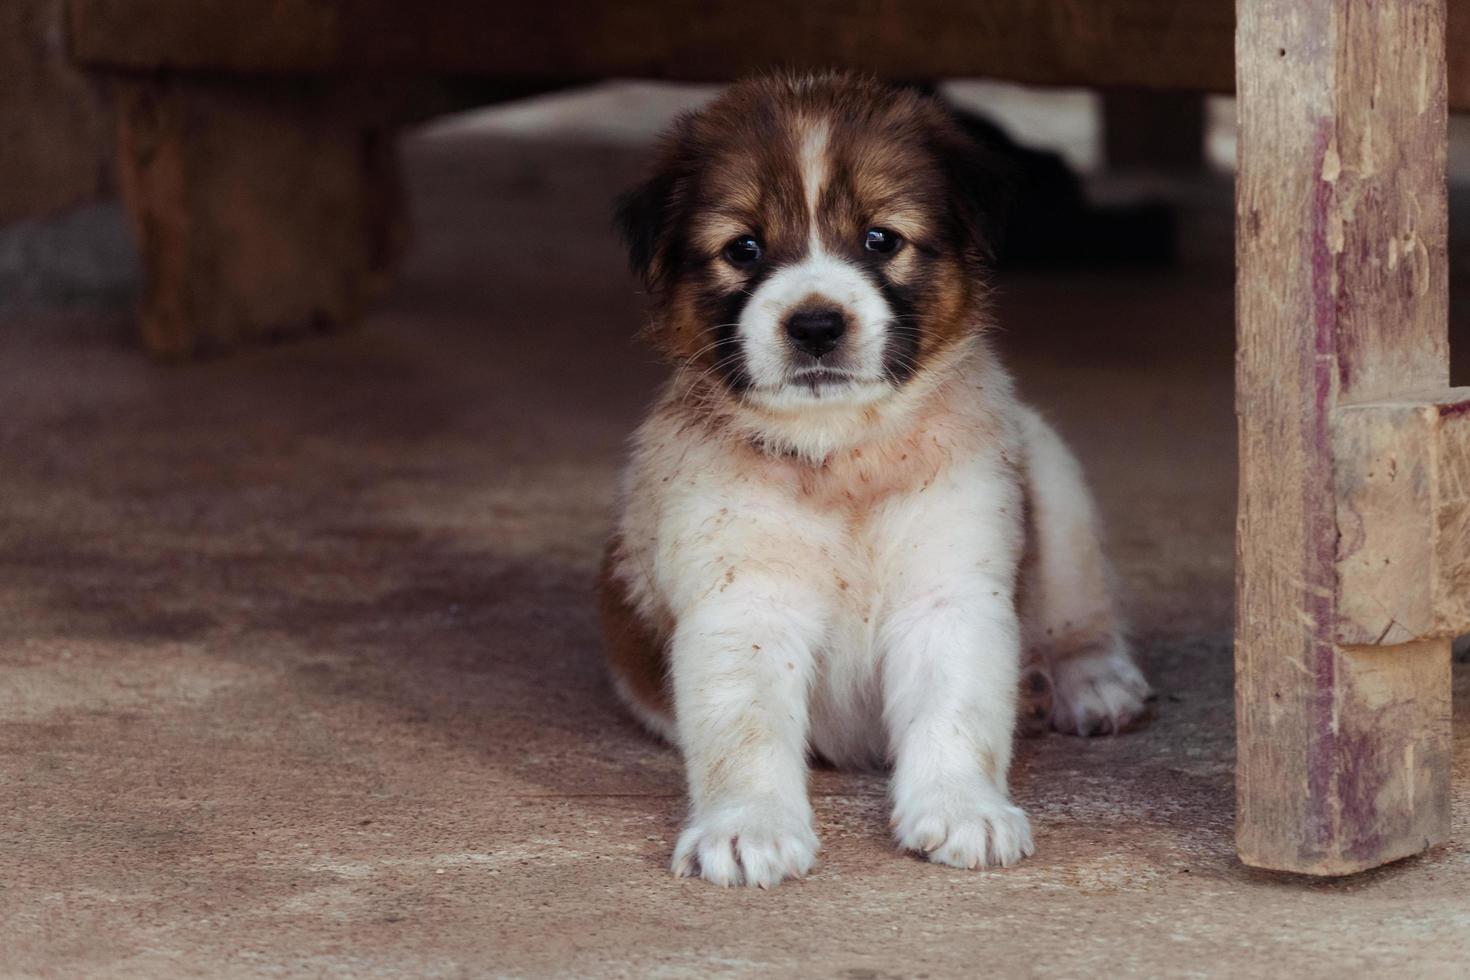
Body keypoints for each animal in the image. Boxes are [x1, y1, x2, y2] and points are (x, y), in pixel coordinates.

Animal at [596, 74, 1146, 887]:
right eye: (743, 248)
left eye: (881, 239)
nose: (816, 326)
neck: (843, 459)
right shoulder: (743, 604)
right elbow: (744, 731)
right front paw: (747, 826)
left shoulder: (948, 595)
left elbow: (957, 713)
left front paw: (962, 809)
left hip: (1053, 479)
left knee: (1081, 614)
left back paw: (1091, 682)